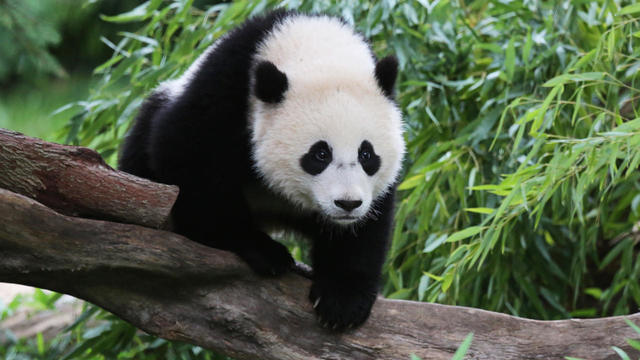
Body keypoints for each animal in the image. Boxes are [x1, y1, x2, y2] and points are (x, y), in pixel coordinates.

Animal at [120, 9, 404, 330]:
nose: (347, 204)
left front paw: (342, 301)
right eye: (320, 154)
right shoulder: (224, 90)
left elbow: (366, 227)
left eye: (367, 154)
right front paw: (262, 250)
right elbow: (188, 158)